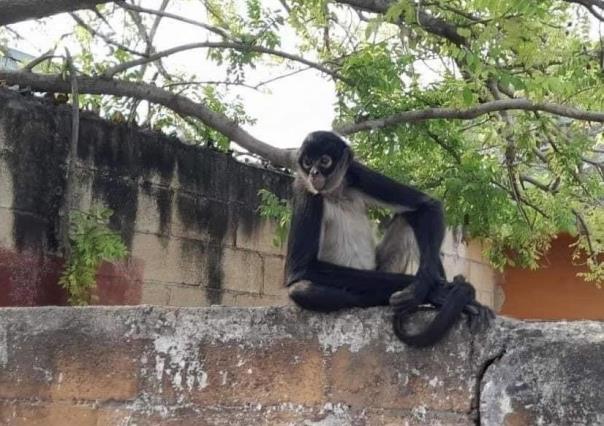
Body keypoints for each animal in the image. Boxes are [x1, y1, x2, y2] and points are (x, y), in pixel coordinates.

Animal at [284, 131, 490, 348]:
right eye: (307, 162)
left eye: (324, 161)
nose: (314, 173)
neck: (335, 191)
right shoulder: (304, 187)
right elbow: (301, 268)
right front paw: (432, 292)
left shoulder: (355, 172)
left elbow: (428, 204)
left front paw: (423, 287)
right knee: (302, 289)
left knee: (410, 217)